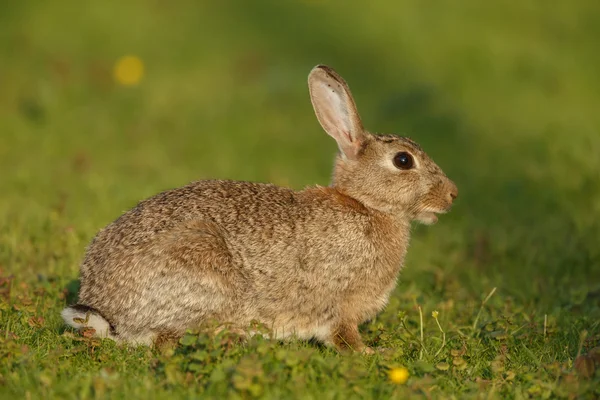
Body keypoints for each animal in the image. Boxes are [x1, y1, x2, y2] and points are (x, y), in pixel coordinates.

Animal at [61, 65, 458, 354]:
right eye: (403, 161)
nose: (452, 194)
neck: (367, 205)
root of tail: (109, 313)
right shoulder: (340, 304)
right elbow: (344, 336)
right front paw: (373, 354)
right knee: (168, 341)